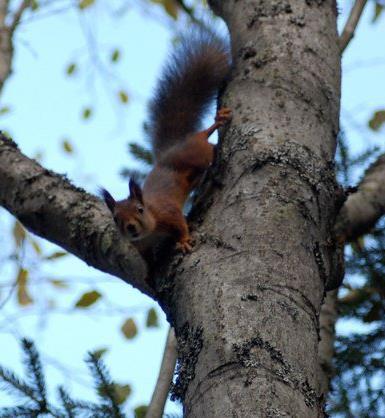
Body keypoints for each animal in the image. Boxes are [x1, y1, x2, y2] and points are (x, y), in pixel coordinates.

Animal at [100, 31, 230, 255]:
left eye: (140, 209)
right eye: (116, 219)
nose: (131, 227)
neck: (150, 231)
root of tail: (171, 149)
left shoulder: (168, 212)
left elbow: (181, 225)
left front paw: (184, 241)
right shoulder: (142, 249)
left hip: (196, 152)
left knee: (204, 137)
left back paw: (218, 121)